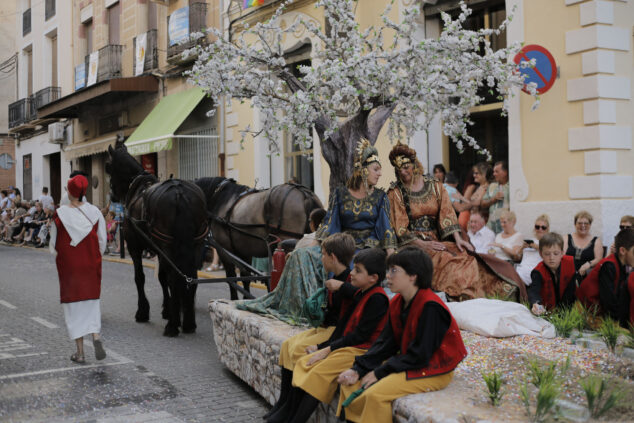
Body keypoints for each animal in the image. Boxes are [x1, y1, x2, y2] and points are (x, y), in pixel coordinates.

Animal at [106, 140, 207, 338]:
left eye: (109, 168)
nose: (112, 196)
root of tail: (179, 193)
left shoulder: (134, 247)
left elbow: (140, 277)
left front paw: (143, 311)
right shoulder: (160, 251)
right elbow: (161, 277)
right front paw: (167, 309)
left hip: (169, 246)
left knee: (175, 278)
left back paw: (173, 326)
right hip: (195, 244)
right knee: (190, 276)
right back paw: (188, 323)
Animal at [195, 177, 324, 300]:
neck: (219, 197)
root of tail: (304, 194)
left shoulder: (224, 250)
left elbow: (231, 278)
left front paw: (234, 299)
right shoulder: (245, 251)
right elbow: (245, 276)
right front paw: (246, 298)